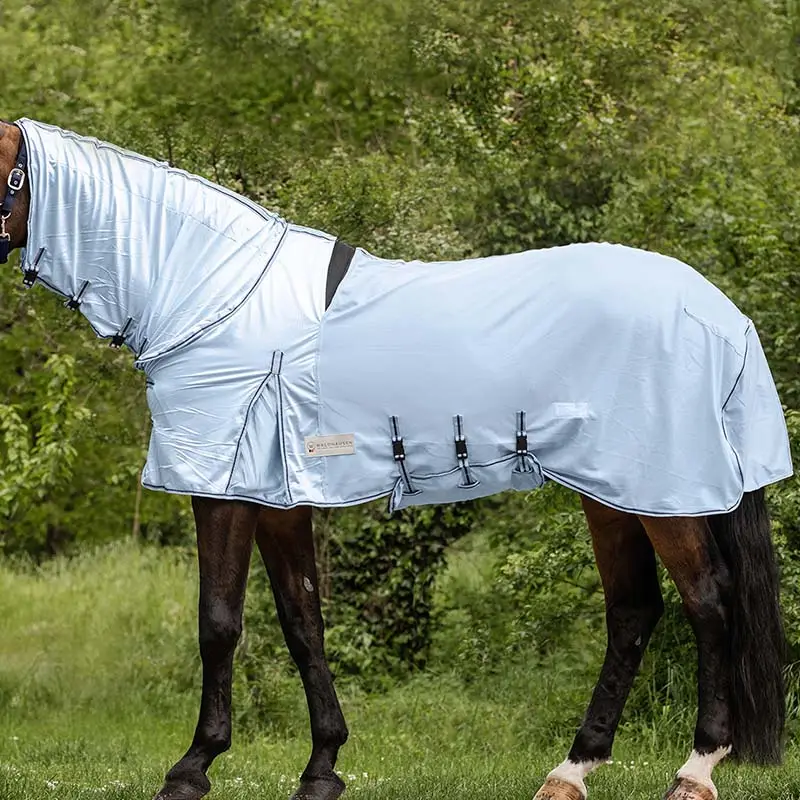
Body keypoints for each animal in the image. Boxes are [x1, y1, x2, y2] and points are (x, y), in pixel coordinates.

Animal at [0, 118, 792, 800]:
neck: (212, 290)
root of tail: (722, 313)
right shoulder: (279, 500)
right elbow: (302, 621)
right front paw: (321, 768)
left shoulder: (225, 489)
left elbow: (219, 622)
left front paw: (192, 769)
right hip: (615, 492)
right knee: (633, 611)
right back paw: (570, 772)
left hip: (663, 493)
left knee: (709, 602)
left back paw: (695, 770)